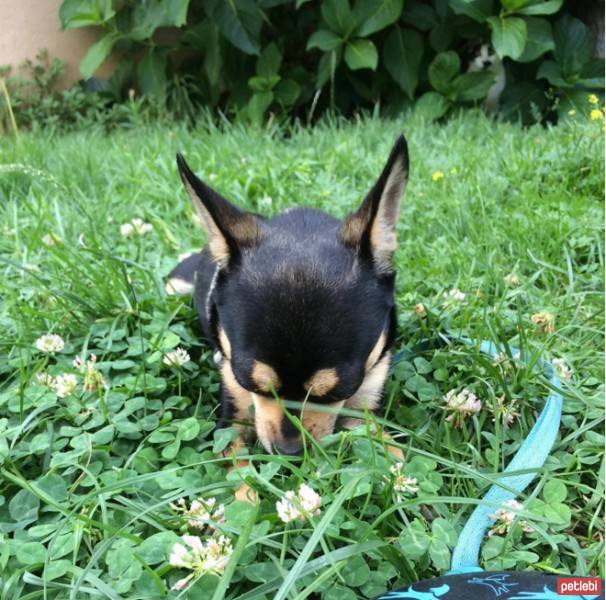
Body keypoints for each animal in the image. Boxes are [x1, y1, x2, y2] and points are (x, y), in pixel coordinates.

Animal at [169, 136, 410, 462]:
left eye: (339, 392)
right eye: (248, 382)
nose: (290, 453)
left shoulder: (367, 406)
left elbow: (392, 455)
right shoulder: (232, 419)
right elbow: (236, 464)